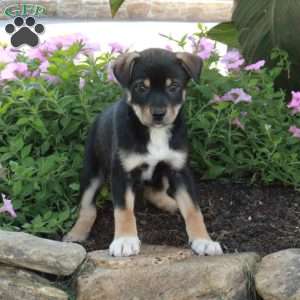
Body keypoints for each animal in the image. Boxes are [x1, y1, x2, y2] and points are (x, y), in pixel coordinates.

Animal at [63, 48, 223, 256]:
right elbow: (123, 210)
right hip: (92, 171)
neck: (154, 132)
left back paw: (172, 203)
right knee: (87, 207)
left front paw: (203, 240)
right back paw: (77, 233)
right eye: (141, 87)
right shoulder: (122, 173)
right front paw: (124, 240)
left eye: (173, 86)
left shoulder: (179, 170)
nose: (158, 114)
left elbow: (193, 209)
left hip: (161, 173)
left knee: (153, 192)